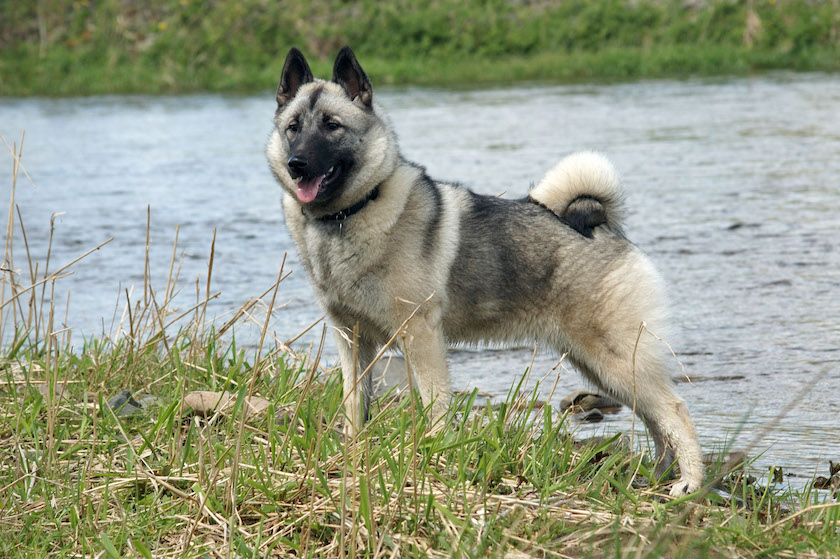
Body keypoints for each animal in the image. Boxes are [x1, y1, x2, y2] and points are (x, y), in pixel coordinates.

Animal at [266, 47, 704, 494]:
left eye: (332, 126)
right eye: (293, 128)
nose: (297, 163)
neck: (348, 216)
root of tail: (602, 225)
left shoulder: (421, 335)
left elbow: (435, 404)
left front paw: (433, 453)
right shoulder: (351, 340)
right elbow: (355, 404)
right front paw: (353, 452)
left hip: (614, 358)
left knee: (674, 409)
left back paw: (689, 483)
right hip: (599, 366)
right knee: (654, 418)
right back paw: (659, 476)